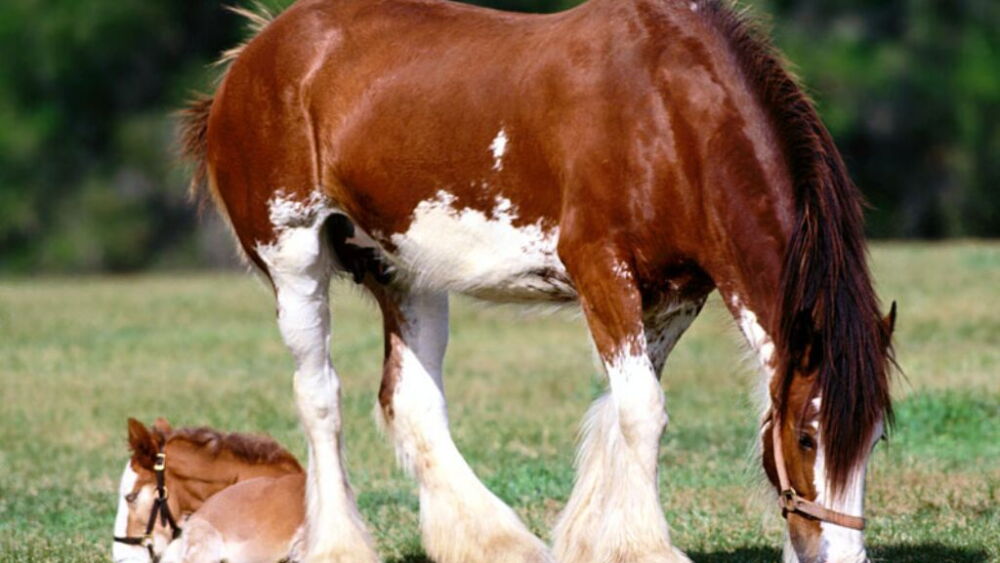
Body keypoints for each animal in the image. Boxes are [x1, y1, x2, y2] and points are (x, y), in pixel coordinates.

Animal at [178, 0, 896, 561]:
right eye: (807, 437)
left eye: (875, 438)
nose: (842, 555)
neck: (666, 111)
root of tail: (251, 57)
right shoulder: (601, 269)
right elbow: (642, 410)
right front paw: (647, 548)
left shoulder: (676, 295)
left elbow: (621, 410)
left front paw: (596, 541)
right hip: (294, 259)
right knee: (319, 395)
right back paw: (339, 545)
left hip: (405, 271)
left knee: (410, 401)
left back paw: (494, 542)